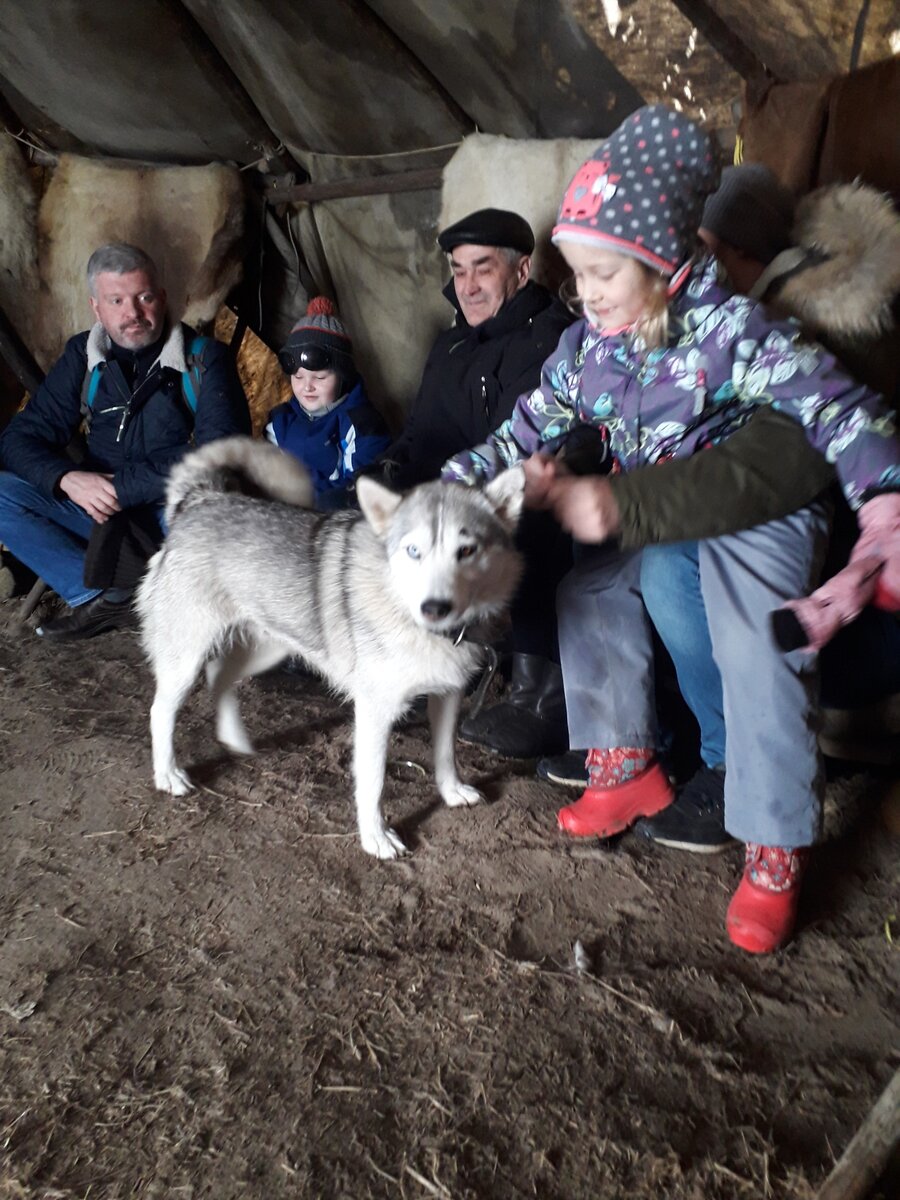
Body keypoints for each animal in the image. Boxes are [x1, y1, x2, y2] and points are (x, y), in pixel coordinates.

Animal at [137, 436, 525, 859]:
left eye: (467, 551)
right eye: (413, 551)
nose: (435, 607)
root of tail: (201, 499)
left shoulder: (449, 696)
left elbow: (446, 753)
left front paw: (451, 791)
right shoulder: (374, 712)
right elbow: (373, 782)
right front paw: (375, 837)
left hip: (267, 649)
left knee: (220, 678)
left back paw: (235, 740)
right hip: (186, 660)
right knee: (161, 710)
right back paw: (167, 774)